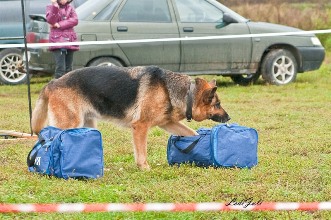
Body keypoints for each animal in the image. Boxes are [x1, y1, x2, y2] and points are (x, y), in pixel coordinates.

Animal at [31, 64, 231, 169]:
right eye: (217, 104)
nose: (229, 118)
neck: (185, 93)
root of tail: (53, 82)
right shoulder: (140, 126)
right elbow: (141, 151)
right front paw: (145, 168)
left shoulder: (168, 123)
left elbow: (192, 133)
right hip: (69, 123)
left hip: (87, 125)